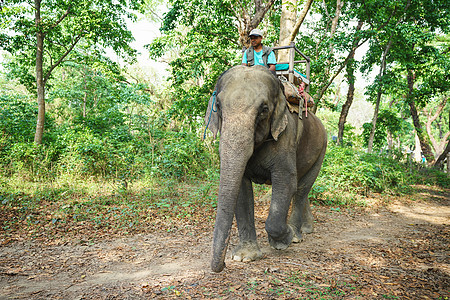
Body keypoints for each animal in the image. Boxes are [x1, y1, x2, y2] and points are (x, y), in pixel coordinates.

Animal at [205, 64, 326, 274]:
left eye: (264, 109)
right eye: (218, 106)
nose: (222, 265)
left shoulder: (286, 135)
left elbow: (286, 182)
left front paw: (283, 240)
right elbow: (242, 190)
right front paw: (244, 257)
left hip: (322, 149)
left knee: (302, 188)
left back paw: (296, 235)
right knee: (302, 189)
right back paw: (307, 229)